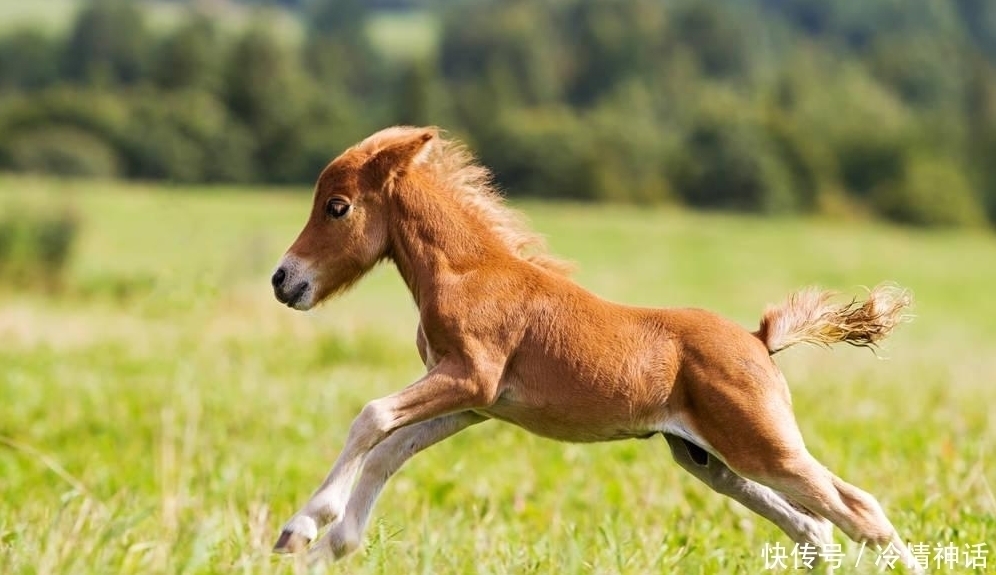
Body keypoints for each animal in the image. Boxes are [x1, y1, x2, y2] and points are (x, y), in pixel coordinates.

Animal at [268, 126, 924, 572]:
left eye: (337, 207)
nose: (283, 279)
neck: (469, 272)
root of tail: (759, 342)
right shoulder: (474, 403)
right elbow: (386, 450)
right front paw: (329, 544)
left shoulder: (469, 378)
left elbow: (371, 417)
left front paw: (305, 527)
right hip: (707, 459)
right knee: (812, 528)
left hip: (763, 445)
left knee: (858, 509)